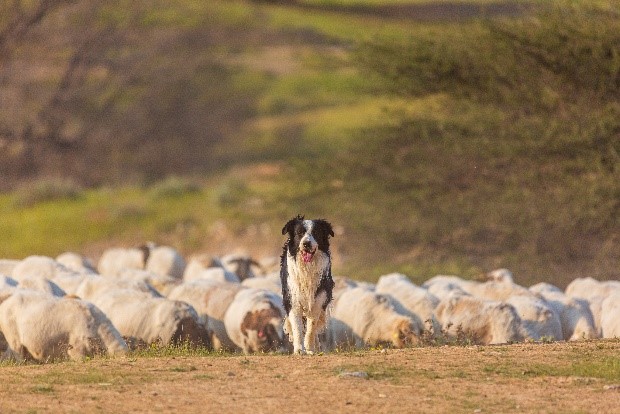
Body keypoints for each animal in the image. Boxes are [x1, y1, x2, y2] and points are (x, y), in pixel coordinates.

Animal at [280, 215, 334, 354]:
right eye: (299, 233)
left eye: (315, 233)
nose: (306, 243)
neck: (307, 267)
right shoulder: (292, 299)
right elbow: (297, 328)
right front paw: (299, 349)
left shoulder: (318, 300)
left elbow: (311, 327)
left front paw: (309, 347)